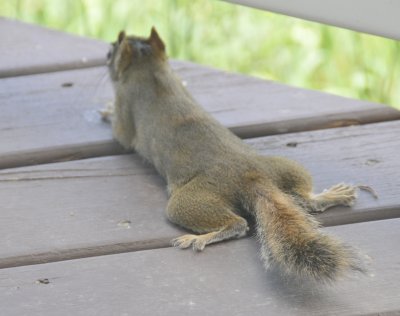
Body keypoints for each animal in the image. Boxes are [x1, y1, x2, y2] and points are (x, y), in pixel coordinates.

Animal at [104, 28, 368, 282]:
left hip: (190, 200)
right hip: (287, 167)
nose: (107, 54)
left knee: (238, 224)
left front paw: (107, 112)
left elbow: (122, 134)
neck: (150, 68)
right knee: (306, 200)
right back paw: (332, 195)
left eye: (110, 52)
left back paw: (202, 237)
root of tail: (252, 176)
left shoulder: (125, 103)